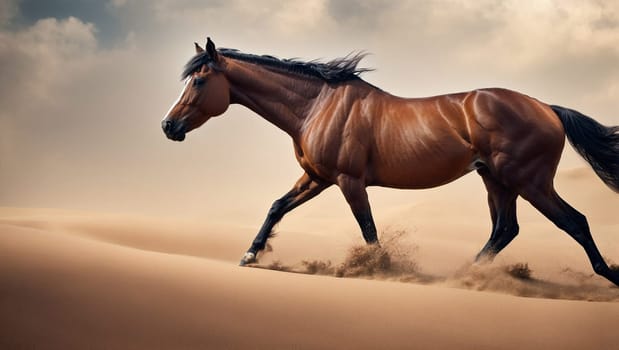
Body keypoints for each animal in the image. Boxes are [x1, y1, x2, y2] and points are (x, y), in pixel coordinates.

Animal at [161, 38, 619, 286]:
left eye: (198, 81)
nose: (169, 126)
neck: (316, 106)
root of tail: (547, 108)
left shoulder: (347, 181)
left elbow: (368, 229)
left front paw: (380, 271)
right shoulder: (316, 177)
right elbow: (276, 207)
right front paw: (250, 255)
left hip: (528, 181)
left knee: (574, 222)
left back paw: (608, 275)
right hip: (497, 181)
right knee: (505, 229)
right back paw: (462, 276)